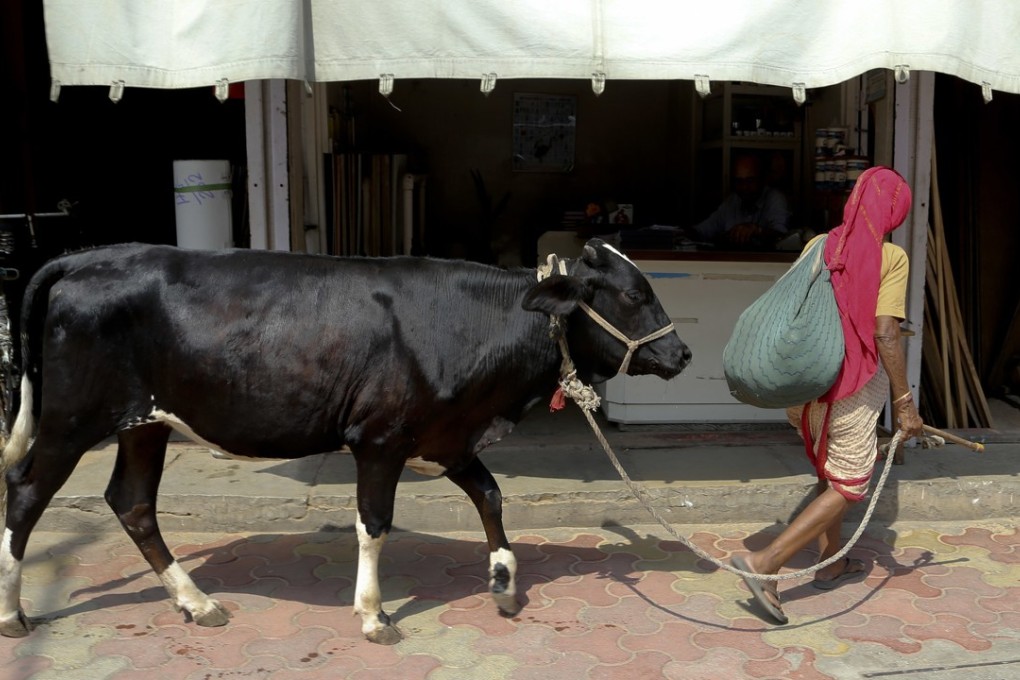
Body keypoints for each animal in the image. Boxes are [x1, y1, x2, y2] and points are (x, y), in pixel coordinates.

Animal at [0, 238, 690, 644]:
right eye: (635, 294)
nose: (682, 354)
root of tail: (90, 256)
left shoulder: (446, 436)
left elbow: (491, 496)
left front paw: (503, 581)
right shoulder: (380, 438)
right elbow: (374, 523)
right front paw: (374, 614)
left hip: (145, 422)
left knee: (133, 502)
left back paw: (198, 603)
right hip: (72, 418)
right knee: (26, 492)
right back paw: (13, 613)